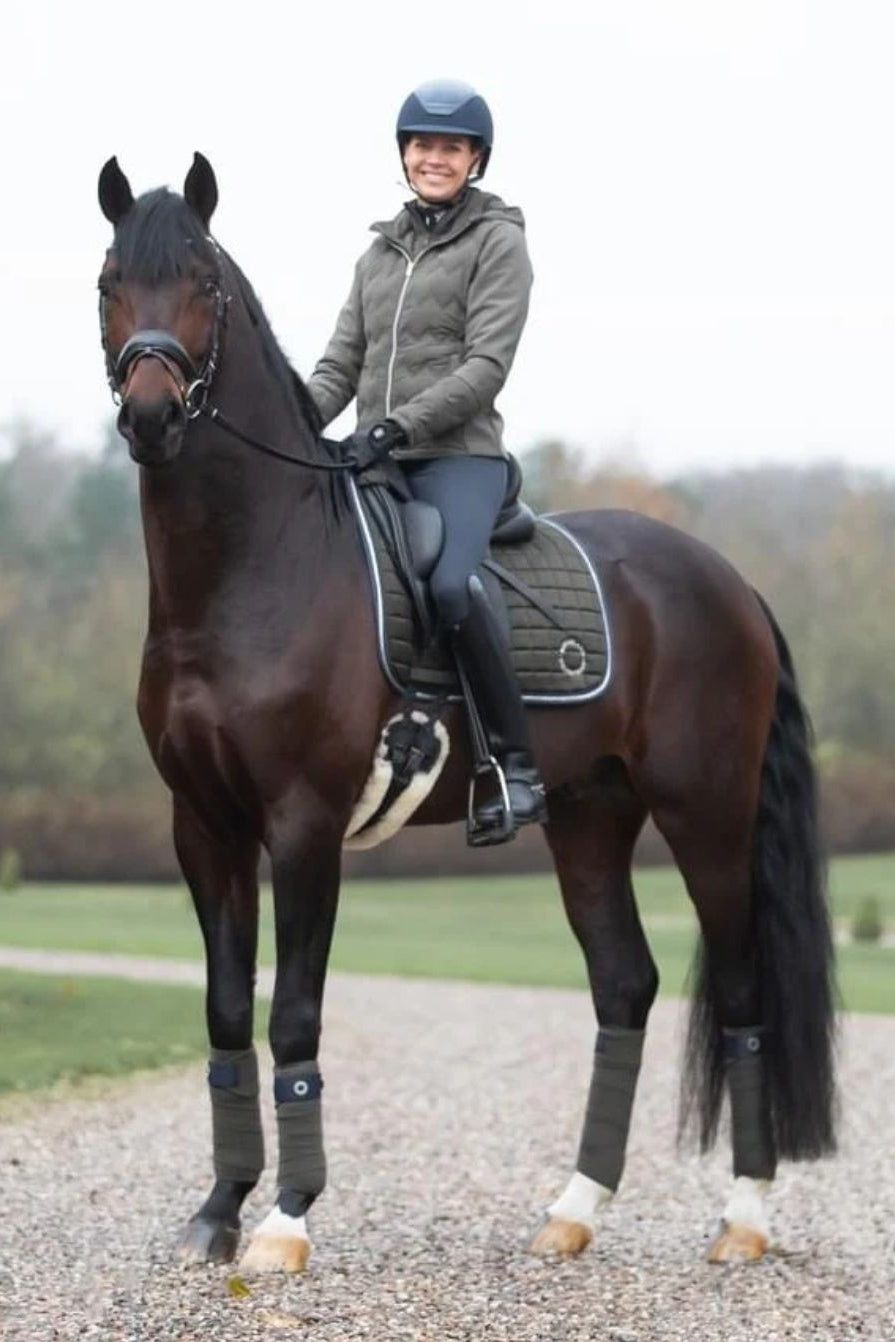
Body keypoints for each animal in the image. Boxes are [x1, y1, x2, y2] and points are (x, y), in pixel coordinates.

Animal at [96, 153, 836, 1274]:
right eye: (109, 283)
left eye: (203, 284)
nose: (151, 415)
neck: (249, 570)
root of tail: (726, 581)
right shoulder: (204, 825)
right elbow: (226, 1012)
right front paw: (219, 1208)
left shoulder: (304, 824)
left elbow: (292, 1016)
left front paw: (285, 1220)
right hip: (589, 818)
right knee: (623, 985)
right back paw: (573, 1210)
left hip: (707, 817)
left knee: (744, 991)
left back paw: (742, 1221)